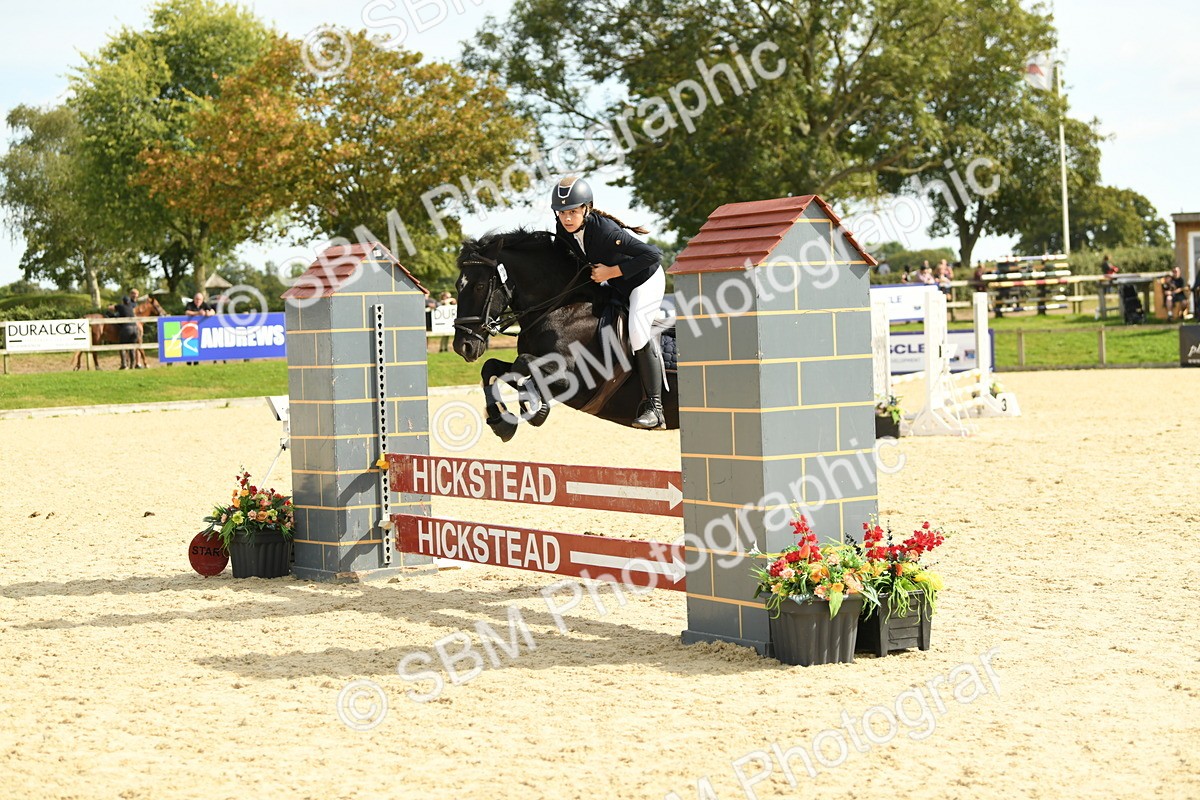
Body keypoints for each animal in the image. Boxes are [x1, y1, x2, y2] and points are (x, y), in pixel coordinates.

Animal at [452, 229, 679, 441]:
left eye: (480, 286)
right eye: (457, 285)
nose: (462, 346)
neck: (559, 309)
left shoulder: (579, 381)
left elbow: (522, 363)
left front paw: (535, 409)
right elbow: (492, 367)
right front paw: (502, 424)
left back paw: (651, 416)